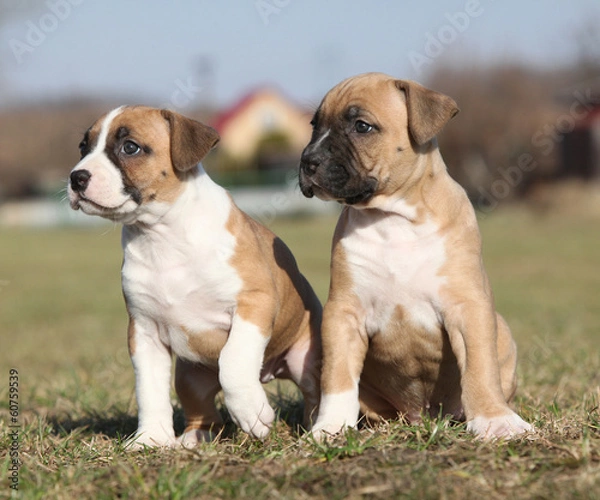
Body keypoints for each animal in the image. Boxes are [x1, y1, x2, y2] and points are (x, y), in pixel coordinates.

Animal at [67, 103, 324, 448]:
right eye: (84, 147)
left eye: (130, 147)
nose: (77, 177)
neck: (162, 236)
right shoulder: (144, 332)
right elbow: (149, 390)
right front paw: (151, 438)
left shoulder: (254, 303)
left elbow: (233, 361)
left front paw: (253, 413)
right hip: (190, 376)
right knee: (201, 408)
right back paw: (196, 437)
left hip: (303, 360)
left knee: (312, 393)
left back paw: (316, 428)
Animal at [298, 72, 528, 440]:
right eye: (314, 126)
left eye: (362, 126)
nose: (307, 162)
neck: (393, 217)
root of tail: (423, 415)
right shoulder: (343, 313)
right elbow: (337, 375)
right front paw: (330, 427)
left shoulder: (468, 306)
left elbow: (479, 367)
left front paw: (495, 420)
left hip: (500, 329)